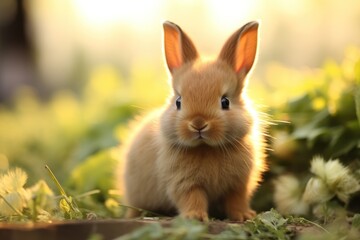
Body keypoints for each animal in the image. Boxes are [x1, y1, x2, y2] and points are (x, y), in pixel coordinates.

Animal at [121, 20, 268, 221]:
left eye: (225, 102)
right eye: (178, 102)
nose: (198, 124)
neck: (206, 148)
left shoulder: (238, 185)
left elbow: (236, 200)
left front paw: (244, 215)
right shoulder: (183, 182)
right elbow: (192, 198)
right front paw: (195, 217)